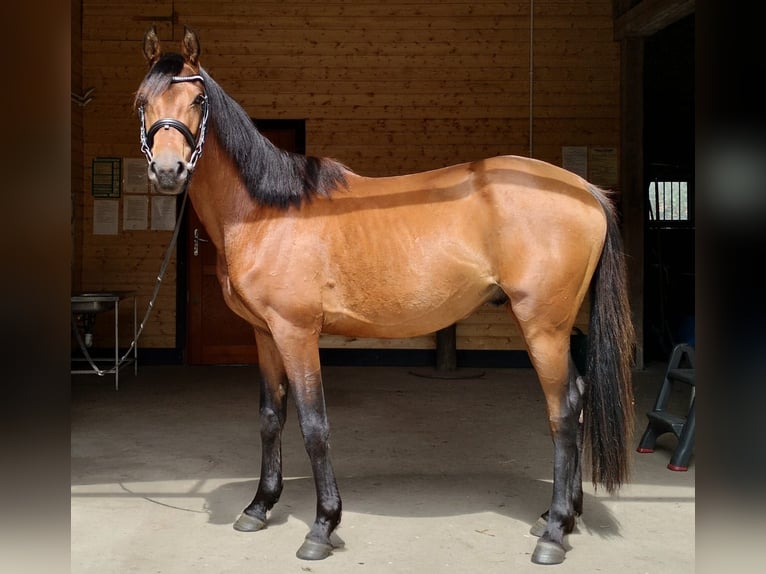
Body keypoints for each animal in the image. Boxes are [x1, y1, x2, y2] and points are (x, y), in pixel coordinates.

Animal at [136, 27, 636, 568]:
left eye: (198, 100)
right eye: (142, 101)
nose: (168, 170)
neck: (267, 212)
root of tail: (584, 189)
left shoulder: (297, 333)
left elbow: (314, 425)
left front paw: (322, 526)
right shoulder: (264, 334)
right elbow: (271, 418)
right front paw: (259, 506)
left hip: (544, 326)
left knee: (563, 410)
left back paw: (555, 532)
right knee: (579, 399)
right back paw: (559, 516)